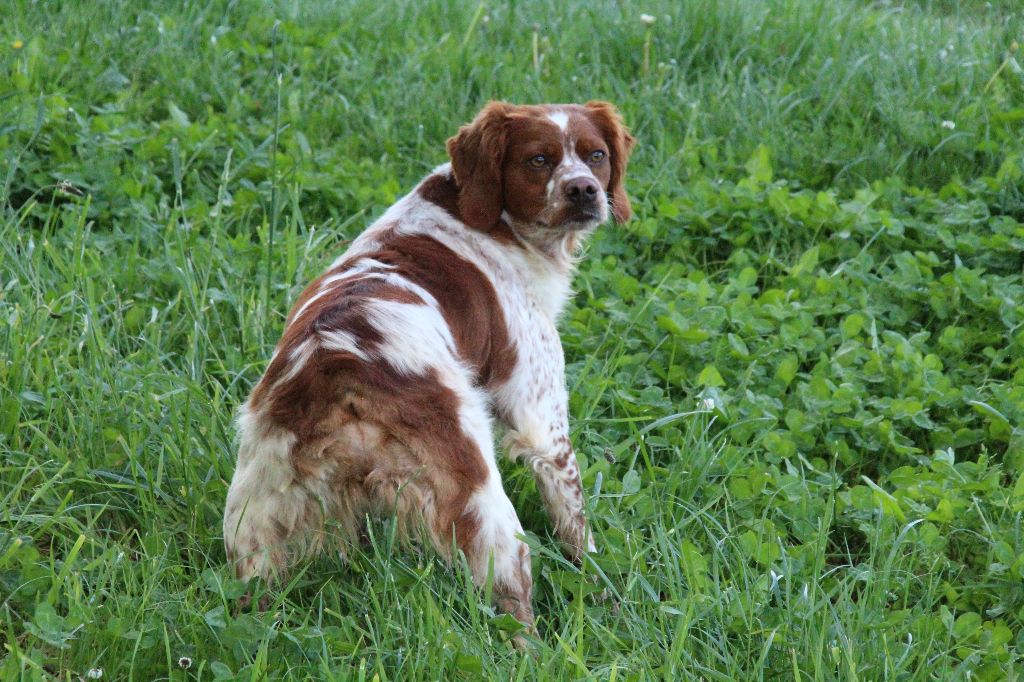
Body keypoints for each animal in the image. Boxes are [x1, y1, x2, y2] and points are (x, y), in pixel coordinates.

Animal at [224, 101, 634, 629]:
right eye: (538, 160)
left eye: (596, 154)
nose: (583, 190)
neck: (493, 220)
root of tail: (337, 364)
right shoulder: (543, 423)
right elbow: (578, 528)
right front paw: (604, 590)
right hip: (482, 502)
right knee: (513, 604)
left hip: (256, 514)